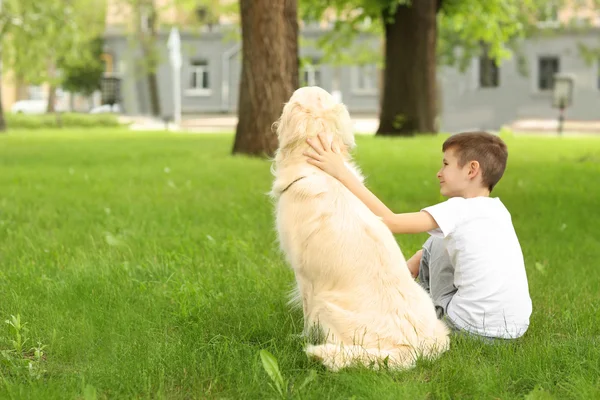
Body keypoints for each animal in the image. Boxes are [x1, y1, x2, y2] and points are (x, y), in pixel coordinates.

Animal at [270, 86, 448, 370]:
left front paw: (299, 337)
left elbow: (306, 314)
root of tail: (415, 349)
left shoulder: (304, 274)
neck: (322, 170)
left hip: (327, 305)